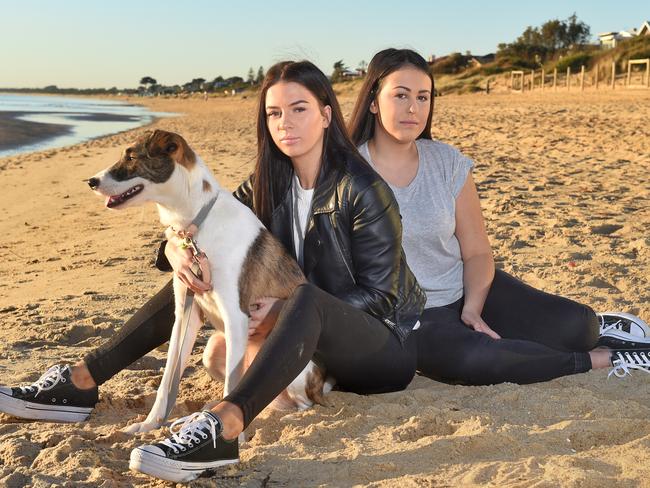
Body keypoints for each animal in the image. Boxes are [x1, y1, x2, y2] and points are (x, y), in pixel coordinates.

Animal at [88, 130, 332, 434]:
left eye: (131, 156)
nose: (91, 182)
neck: (196, 225)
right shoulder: (186, 314)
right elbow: (167, 381)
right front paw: (149, 424)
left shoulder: (236, 314)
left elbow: (231, 386)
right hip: (214, 352)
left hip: (297, 371)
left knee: (302, 402)